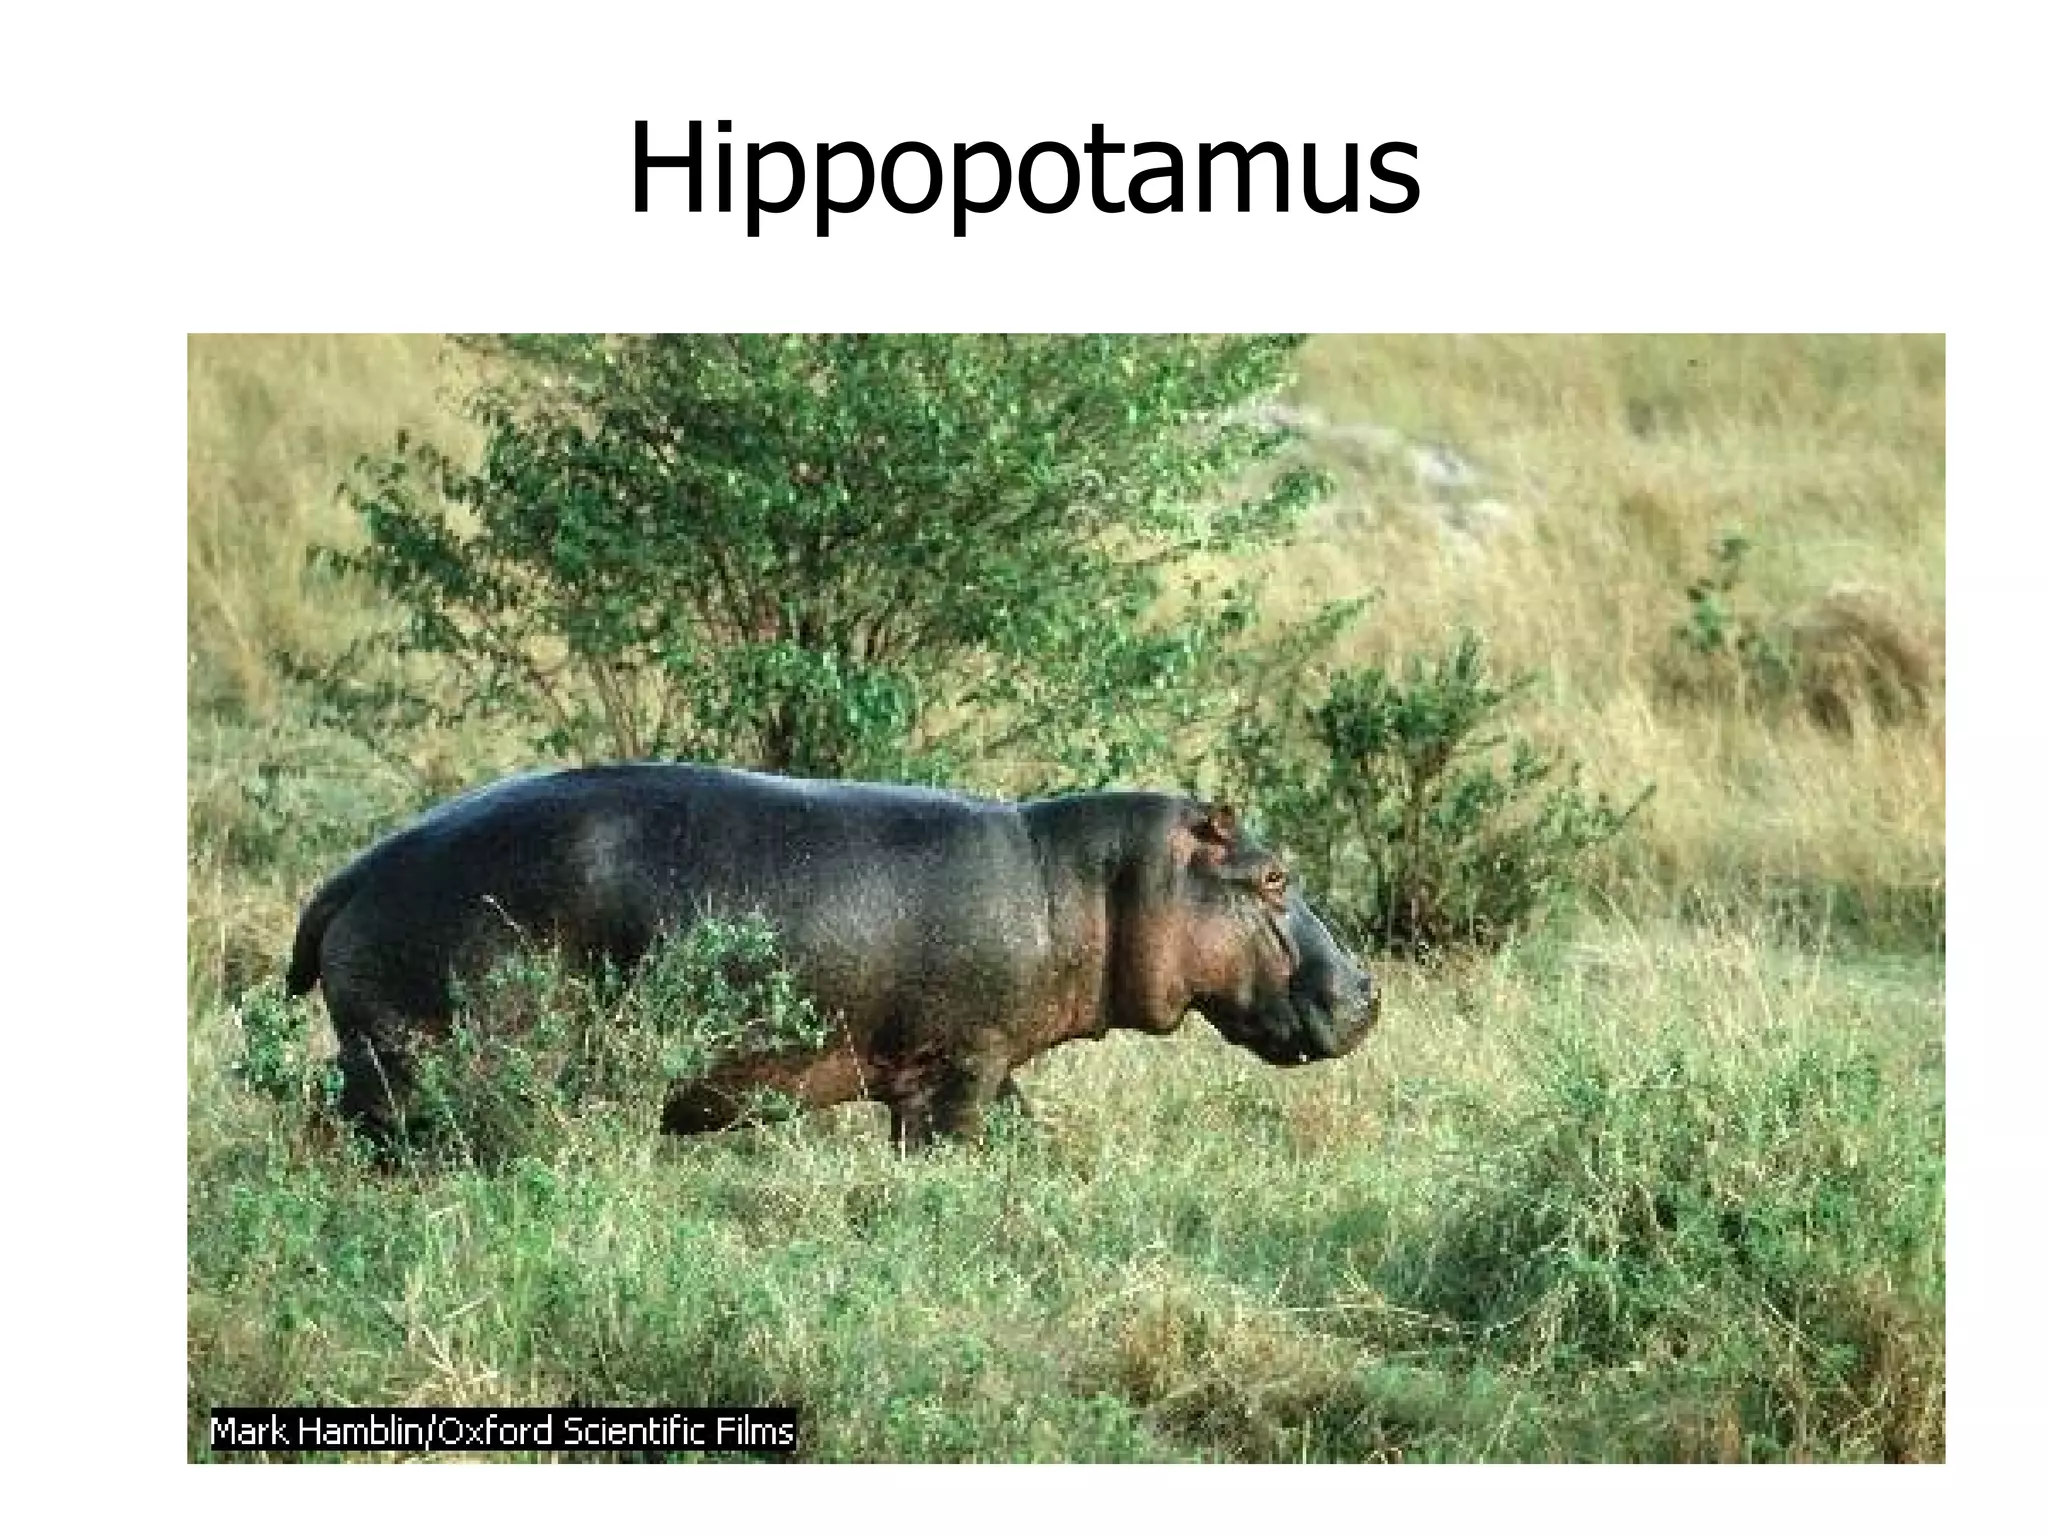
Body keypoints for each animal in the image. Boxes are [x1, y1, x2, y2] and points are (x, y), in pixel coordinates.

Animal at [286, 764, 1378, 1149]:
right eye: (1274, 875)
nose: (1368, 988)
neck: (1091, 884)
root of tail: (351, 874)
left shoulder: (989, 1066)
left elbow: (1026, 1136)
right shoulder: (963, 1064)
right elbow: (950, 1147)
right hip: (433, 1059)